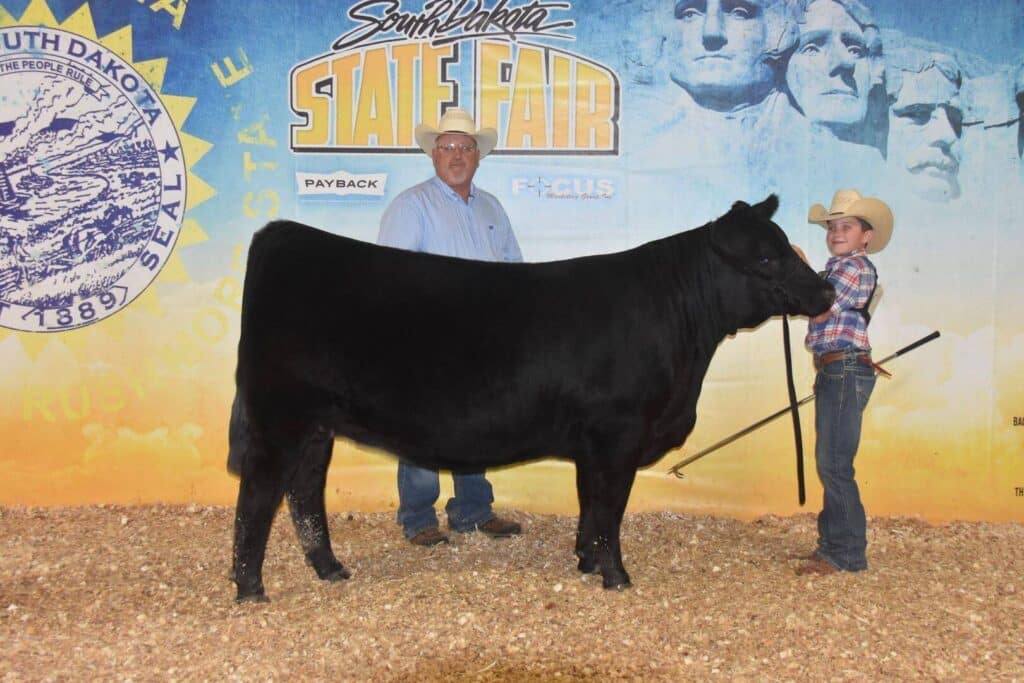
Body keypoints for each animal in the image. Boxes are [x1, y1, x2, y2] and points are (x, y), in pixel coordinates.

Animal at [227, 195, 834, 603]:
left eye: (787, 247)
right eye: (766, 258)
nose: (827, 290)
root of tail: (284, 235)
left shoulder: (596, 443)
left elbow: (591, 504)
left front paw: (586, 561)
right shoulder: (618, 434)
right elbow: (610, 507)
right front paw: (616, 576)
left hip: (317, 425)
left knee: (305, 493)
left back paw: (329, 568)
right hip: (280, 417)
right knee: (259, 494)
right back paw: (250, 586)